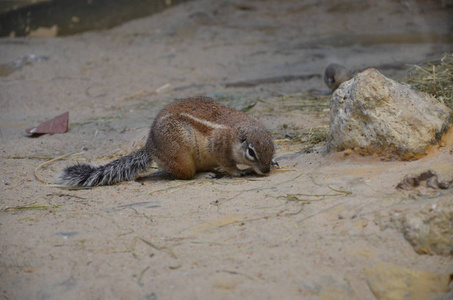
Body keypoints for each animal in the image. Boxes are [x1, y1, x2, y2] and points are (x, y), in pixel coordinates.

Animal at [56, 96, 276, 186]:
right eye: (251, 152)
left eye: (273, 148)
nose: (266, 171)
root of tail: (150, 147)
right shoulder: (219, 144)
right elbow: (227, 162)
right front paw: (238, 171)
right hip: (180, 154)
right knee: (185, 176)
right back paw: (203, 176)